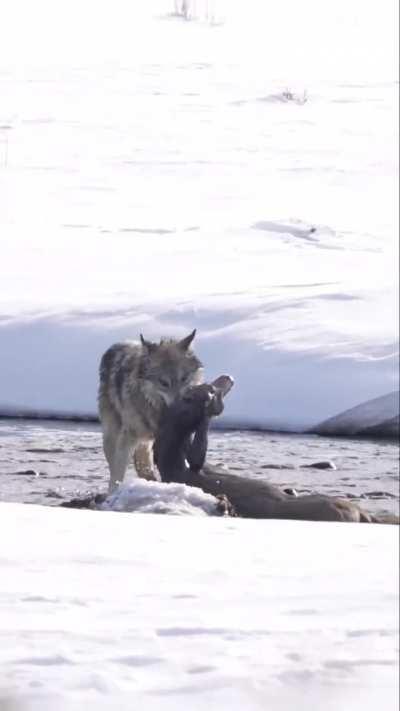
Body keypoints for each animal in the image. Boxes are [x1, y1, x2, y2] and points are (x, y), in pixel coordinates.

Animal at [98, 329, 203, 491]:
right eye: (164, 383)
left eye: (184, 378)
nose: (181, 405)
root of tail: (116, 345)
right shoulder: (127, 437)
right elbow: (117, 473)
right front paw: (113, 491)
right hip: (112, 435)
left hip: (146, 443)